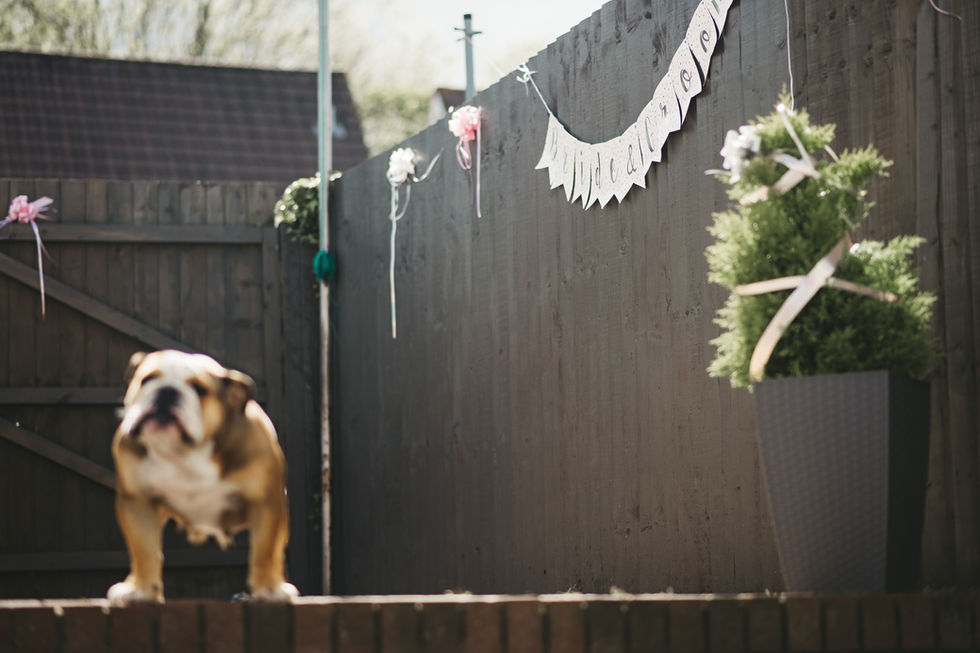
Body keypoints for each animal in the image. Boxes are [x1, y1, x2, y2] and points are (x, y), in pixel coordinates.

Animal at [107, 350, 298, 604]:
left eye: (200, 389)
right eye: (147, 379)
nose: (167, 391)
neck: (183, 451)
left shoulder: (265, 503)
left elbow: (264, 550)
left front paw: (267, 589)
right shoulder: (137, 502)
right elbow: (143, 550)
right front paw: (142, 591)